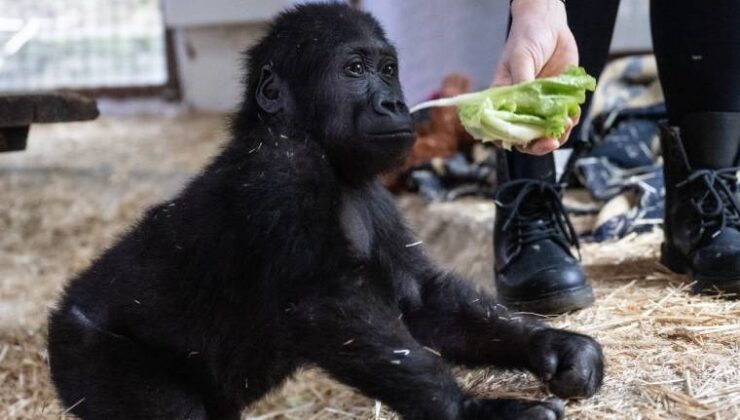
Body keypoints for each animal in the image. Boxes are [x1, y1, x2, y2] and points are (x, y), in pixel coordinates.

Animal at [46, 4, 604, 420]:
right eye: (354, 70)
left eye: (387, 70)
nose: (393, 104)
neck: (310, 137)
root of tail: (61, 313)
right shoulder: (282, 172)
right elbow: (330, 306)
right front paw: (473, 411)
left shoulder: (374, 195)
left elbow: (426, 302)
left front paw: (554, 345)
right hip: (85, 351)